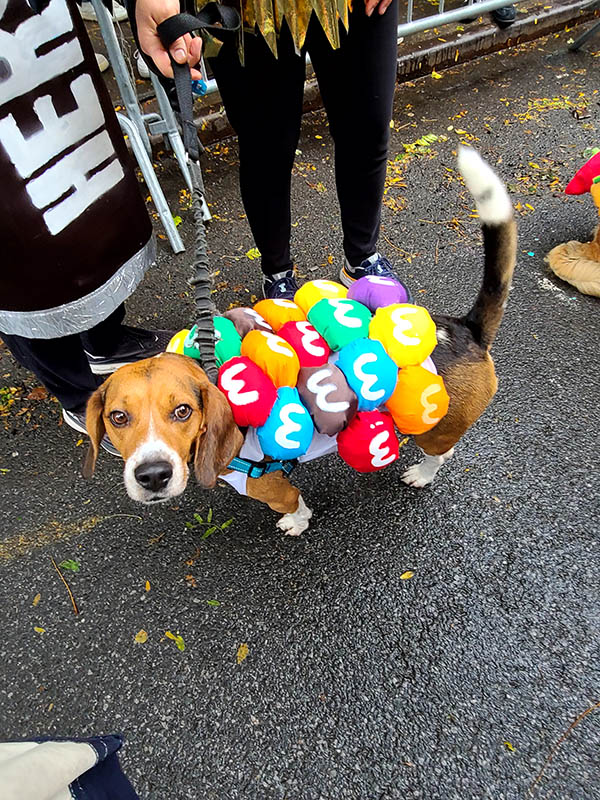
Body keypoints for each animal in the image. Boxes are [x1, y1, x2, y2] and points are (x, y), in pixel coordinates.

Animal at [83, 150, 516, 536]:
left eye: (183, 411)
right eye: (117, 417)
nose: (153, 475)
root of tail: (465, 329)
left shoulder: (267, 484)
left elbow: (292, 503)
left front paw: (296, 522)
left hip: (437, 429)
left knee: (440, 452)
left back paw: (422, 474)